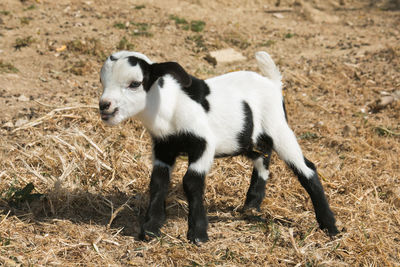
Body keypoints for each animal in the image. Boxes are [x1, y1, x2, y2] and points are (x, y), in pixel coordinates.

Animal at [98, 50, 340, 245]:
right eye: (102, 82)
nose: (104, 105)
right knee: (263, 157)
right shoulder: (164, 147)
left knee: (306, 169)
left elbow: (191, 181)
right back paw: (251, 206)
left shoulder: (203, 143)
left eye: (135, 83)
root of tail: (273, 83)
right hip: (249, 137)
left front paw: (198, 235)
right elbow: (158, 181)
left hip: (278, 127)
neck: (170, 106)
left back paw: (330, 226)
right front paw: (150, 230)